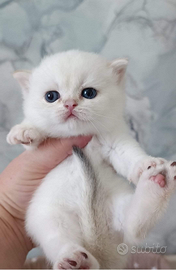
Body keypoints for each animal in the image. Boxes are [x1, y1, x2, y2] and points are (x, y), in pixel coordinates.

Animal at [7, 50, 176, 268]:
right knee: (60, 239)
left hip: (117, 206)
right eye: (51, 96)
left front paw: (146, 163)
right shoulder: (37, 151)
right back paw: (74, 259)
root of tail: (97, 242)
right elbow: (33, 137)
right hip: (49, 216)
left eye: (89, 93)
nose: (70, 104)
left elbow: (129, 154)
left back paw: (157, 182)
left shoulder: (115, 141)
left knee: (134, 227)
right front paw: (24, 130)